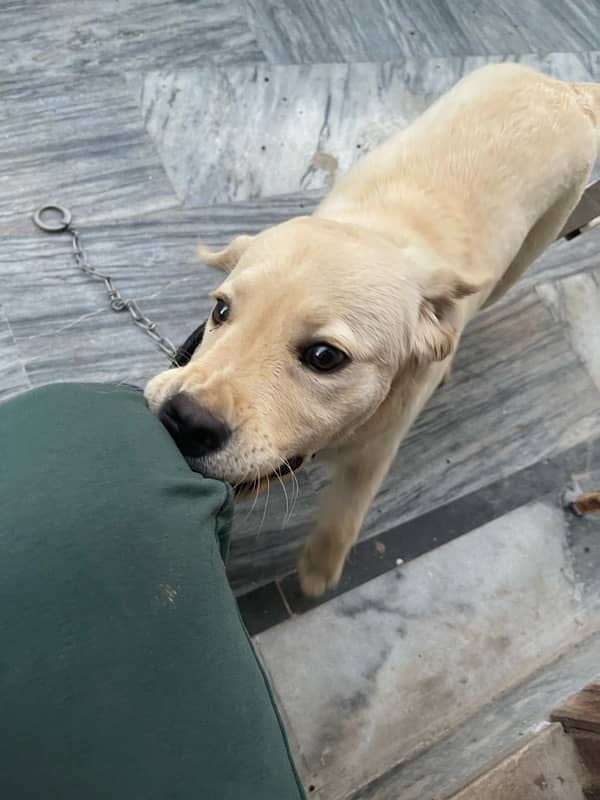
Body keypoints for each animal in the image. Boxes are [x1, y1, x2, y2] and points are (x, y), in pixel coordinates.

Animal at [146, 64, 600, 592]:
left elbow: (343, 518)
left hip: (532, 247)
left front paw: (318, 573)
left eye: (325, 357)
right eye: (220, 311)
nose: (185, 420)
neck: (382, 233)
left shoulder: (375, 453)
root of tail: (562, 88)